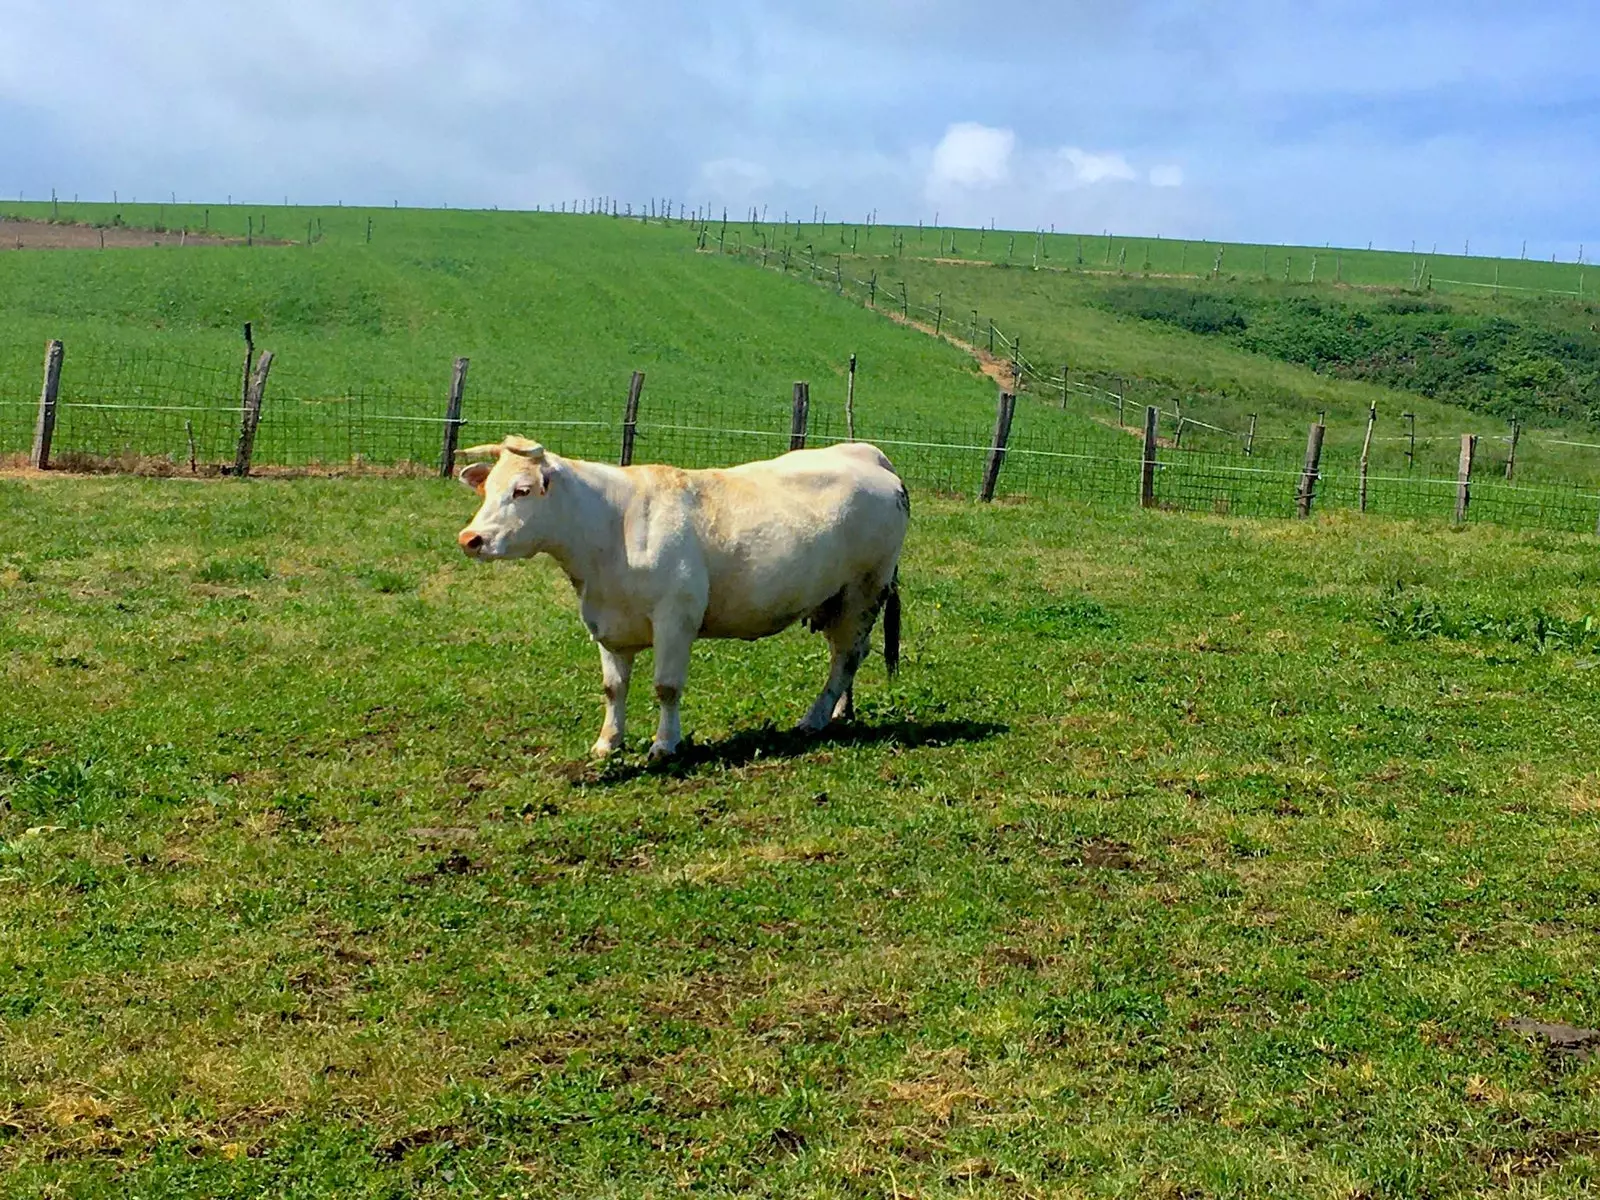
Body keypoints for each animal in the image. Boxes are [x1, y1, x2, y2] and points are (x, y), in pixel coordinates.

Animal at [457, 438, 908, 761]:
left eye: (522, 490)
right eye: (487, 489)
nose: (470, 538)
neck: (611, 528)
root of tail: (868, 454)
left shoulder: (675, 619)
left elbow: (666, 687)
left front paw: (664, 745)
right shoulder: (608, 623)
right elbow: (613, 688)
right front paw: (608, 742)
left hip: (863, 592)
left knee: (846, 656)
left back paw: (814, 718)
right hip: (836, 599)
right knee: (844, 658)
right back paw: (839, 712)